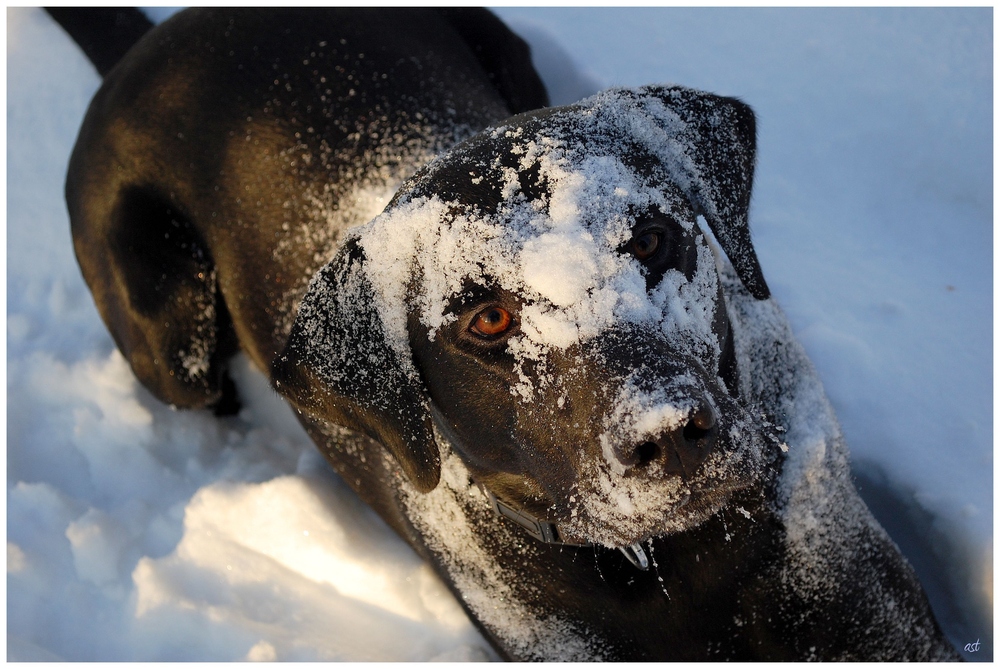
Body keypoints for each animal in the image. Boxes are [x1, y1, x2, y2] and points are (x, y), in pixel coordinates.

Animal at [56, 7, 960, 660]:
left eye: (653, 238)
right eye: (487, 318)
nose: (670, 433)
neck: (679, 567)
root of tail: (160, 33)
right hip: (167, 343)